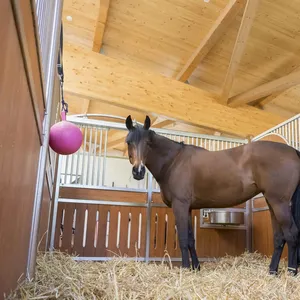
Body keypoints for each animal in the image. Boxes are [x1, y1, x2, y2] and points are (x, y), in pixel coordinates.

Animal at [123, 116, 300, 276]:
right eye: (128, 142)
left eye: (148, 143)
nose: (138, 171)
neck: (174, 162)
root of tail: (293, 151)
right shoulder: (187, 208)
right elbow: (190, 239)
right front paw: (195, 268)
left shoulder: (180, 205)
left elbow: (183, 239)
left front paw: (185, 269)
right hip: (272, 202)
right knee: (279, 237)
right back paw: (272, 272)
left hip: (280, 203)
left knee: (292, 234)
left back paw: (291, 272)